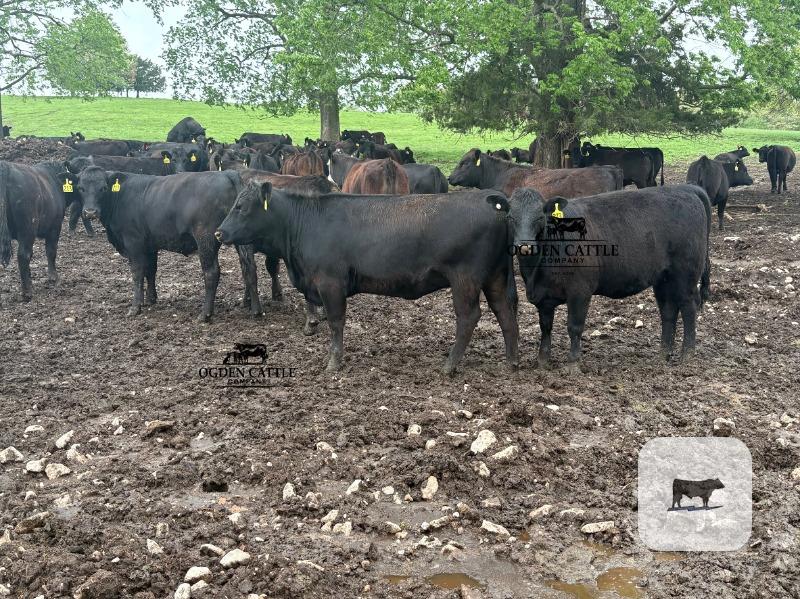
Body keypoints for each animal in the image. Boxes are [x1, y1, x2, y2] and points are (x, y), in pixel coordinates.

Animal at [0, 161, 72, 302]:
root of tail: (6, 166)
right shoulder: (55, 227)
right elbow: (51, 251)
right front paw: (53, 277)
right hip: (28, 229)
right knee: (23, 255)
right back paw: (27, 292)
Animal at [69, 167, 263, 321]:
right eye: (80, 188)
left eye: (103, 188)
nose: (90, 212)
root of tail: (228, 173)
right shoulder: (150, 246)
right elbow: (150, 270)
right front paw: (151, 299)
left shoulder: (133, 243)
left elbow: (137, 273)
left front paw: (135, 307)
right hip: (241, 239)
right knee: (248, 268)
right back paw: (252, 307)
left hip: (205, 239)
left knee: (211, 273)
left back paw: (205, 314)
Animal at [215, 182, 519, 374]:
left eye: (242, 206)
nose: (219, 233)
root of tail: (491, 200)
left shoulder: (330, 283)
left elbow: (336, 322)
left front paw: (333, 363)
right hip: (495, 276)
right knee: (505, 312)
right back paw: (511, 361)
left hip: (465, 278)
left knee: (469, 317)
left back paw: (449, 365)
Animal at [502, 185, 711, 371]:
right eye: (511, 217)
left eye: (540, 217)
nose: (524, 246)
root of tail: (685, 189)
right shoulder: (543, 296)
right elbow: (545, 327)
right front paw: (543, 361)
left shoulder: (580, 291)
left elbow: (574, 327)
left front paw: (573, 363)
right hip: (663, 279)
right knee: (668, 311)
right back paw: (663, 354)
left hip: (686, 276)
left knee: (688, 307)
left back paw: (687, 355)